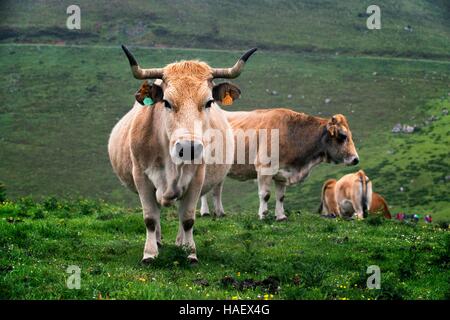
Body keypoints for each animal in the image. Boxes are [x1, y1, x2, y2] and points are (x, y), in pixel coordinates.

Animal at [108, 45, 256, 262]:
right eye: (167, 102)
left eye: (209, 102)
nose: (189, 148)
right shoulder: (141, 177)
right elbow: (150, 218)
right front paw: (150, 253)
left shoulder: (196, 178)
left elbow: (187, 219)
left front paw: (190, 252)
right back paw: (159, 241)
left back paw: (180, 242)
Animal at [200, 109, 358, 221]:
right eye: (342, 136)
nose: (356, 159)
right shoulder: (264, 168)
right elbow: (265, 195)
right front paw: (263, 215)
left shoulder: (283, 173)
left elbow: (281, 197)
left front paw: (281, 216)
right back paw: (205, 212)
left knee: (216, 190)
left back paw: (220, 212)